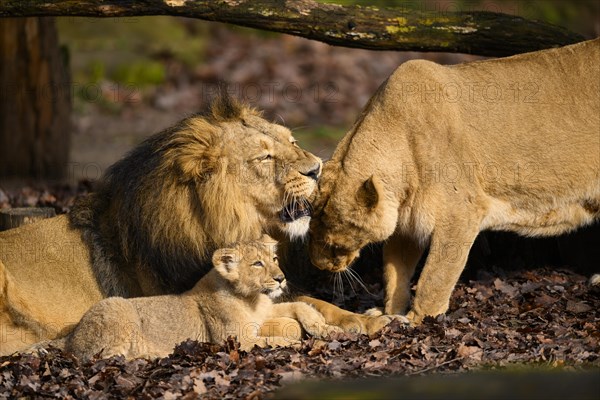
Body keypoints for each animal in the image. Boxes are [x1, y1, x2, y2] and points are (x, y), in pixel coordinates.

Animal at [32, 236, 340, 360]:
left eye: (274, 259)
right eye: (257, 264)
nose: (281, 278)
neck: (252, 299)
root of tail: (71, 335)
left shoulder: (264, 312)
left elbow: (299, 305)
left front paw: (326, 328)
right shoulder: (238, 339)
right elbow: (272, 341)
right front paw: (297, 342)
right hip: (117, 307)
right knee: (105, 357)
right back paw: (153, 355)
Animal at [310, 39, 600, 324]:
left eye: (335, 246)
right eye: (311, 232)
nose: (318, 265)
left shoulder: (462, 211)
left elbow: (434, 276)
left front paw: (418, 319)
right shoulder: (407, 224)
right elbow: (395, 273)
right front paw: (389, 313)